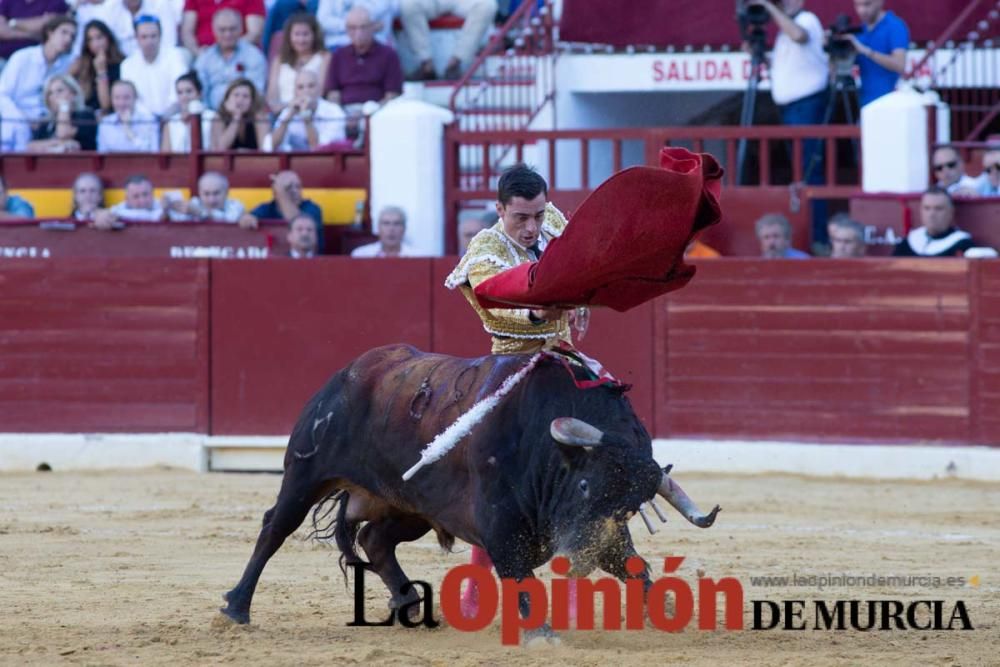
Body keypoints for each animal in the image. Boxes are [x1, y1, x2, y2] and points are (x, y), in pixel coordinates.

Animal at [221, 344, 720, 640]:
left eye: (632, 508)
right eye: (583, 484)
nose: (574, 560)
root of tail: (352, 370)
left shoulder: (604, 535)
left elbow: (634, 567)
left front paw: (665, 613)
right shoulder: (501, 524)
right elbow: (519, 575)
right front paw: (541, 634)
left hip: (409, 506)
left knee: (374, 539)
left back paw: (409, 603)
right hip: (306, 472)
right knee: (275, 529)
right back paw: (236, 608)